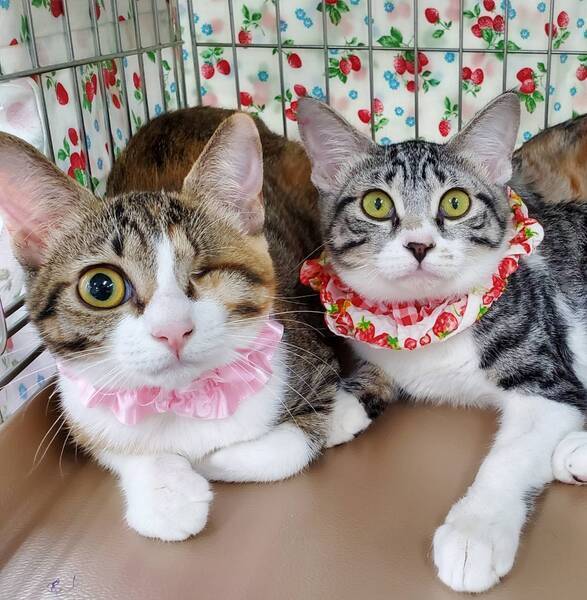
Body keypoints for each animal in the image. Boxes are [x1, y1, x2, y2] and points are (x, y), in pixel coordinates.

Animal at [0, 108, 362, 542]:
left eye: (204, 271)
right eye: (101, 286)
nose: (173, 330)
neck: (185, 399)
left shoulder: (302, 347)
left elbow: (292, 445)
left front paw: (212, 460)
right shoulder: (79, 402)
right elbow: (111, 443)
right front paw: (166, 495)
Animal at [296, 92, 587, 593]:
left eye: (455, 202)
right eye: (377, 204)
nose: (419, 245)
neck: (426, 320)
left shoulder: (547, 377)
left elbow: (511, 455)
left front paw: (475, 532)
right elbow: (375, 369)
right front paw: (333, 408)